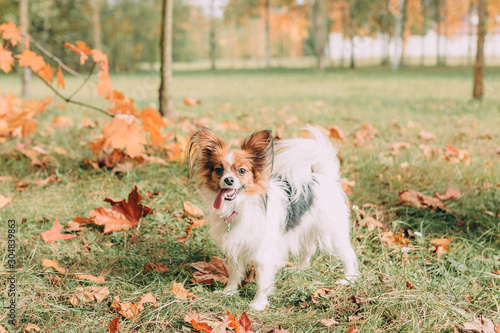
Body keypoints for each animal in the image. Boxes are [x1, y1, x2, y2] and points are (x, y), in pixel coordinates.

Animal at [186, 126, 358, 310]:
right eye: (219, 169)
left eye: (242, 171)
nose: (229, 180)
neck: (240, 206)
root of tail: (324, 177)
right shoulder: (235, 246)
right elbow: (234, 272)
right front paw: (229, 292)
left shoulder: (264, 253)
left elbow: (262, 281)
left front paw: (258, 304)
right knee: (308, 249)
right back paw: (300, 269)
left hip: (332, 233)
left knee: (348, 254)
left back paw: (349, 279)